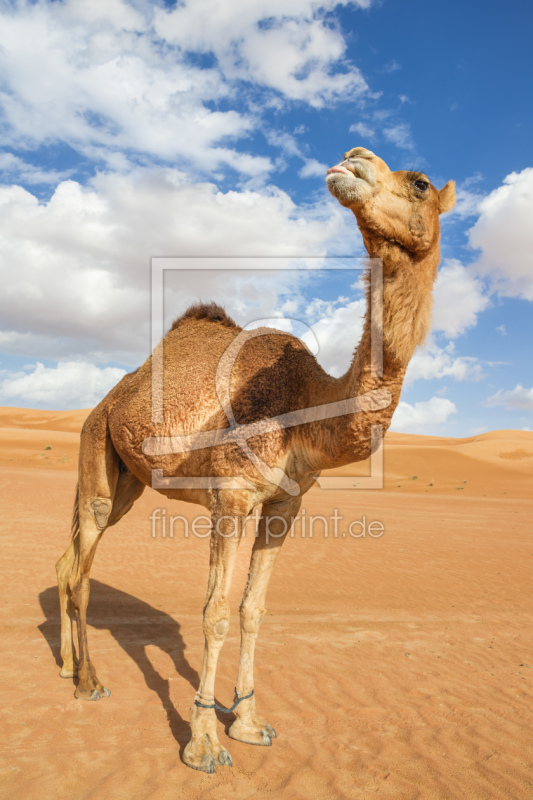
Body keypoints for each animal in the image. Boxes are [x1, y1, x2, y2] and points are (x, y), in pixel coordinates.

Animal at [55, 147, 454, 772]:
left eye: (419, 183)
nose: (352, 159)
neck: (306, 406)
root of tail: (105, 402)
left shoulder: (284, 505)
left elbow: (253, 609)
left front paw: (245, 720)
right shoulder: (232, 496)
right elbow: (215, 612)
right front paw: (202, 742)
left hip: (126, 482)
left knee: (68, 561)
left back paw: (69, 666)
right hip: (95, 448)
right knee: (81, 573)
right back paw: (89, 682)